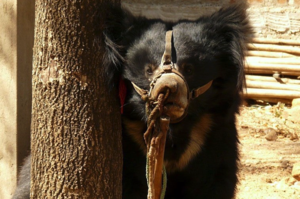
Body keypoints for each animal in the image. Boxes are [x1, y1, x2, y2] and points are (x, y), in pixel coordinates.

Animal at [11, 2, 251, 199]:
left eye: (189, 68)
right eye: (148, 69)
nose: (169, 89)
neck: (174, 130)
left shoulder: (211, 135)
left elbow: (212, 183)